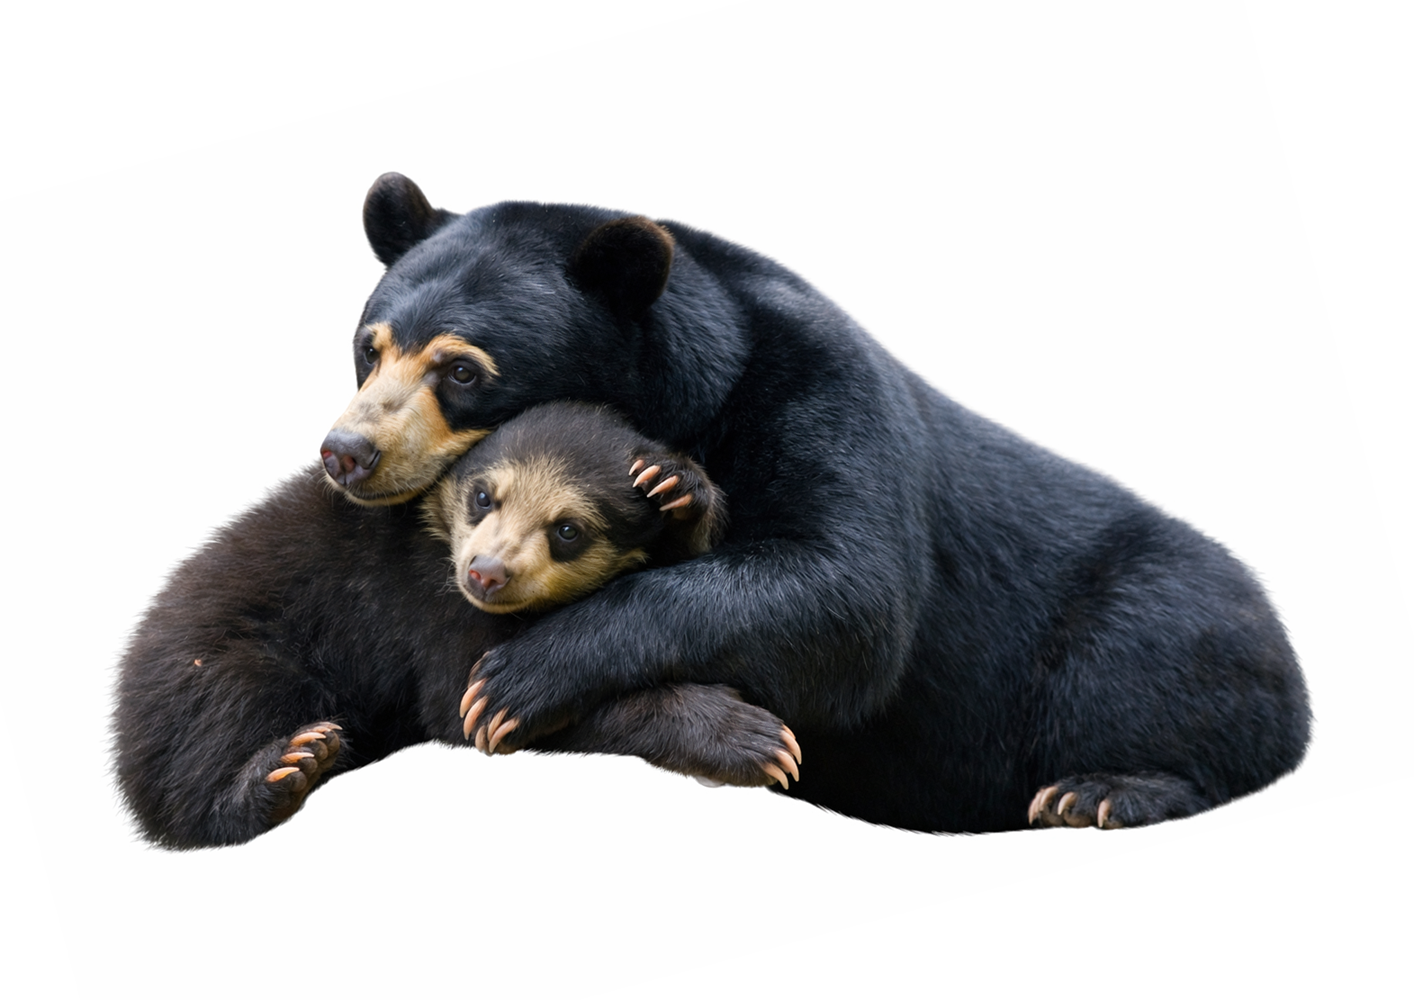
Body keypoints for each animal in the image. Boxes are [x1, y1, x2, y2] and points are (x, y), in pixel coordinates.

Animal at [113, 401, 800, 849]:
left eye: (568, 530)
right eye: (483, 497)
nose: (485, 573)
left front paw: (676, 483)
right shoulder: (425, 602)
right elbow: (465, 703)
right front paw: (752, 739)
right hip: (220, 670)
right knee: (200, 774)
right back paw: (284, 770)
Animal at [315, 172, 1310, 832]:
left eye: (461, 370)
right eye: (370, 347)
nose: (347, 453)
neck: (691, 391)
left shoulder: (817, 392)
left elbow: (847, 595)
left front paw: (520, 677)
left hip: (1163, 624)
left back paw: (1100, 791)